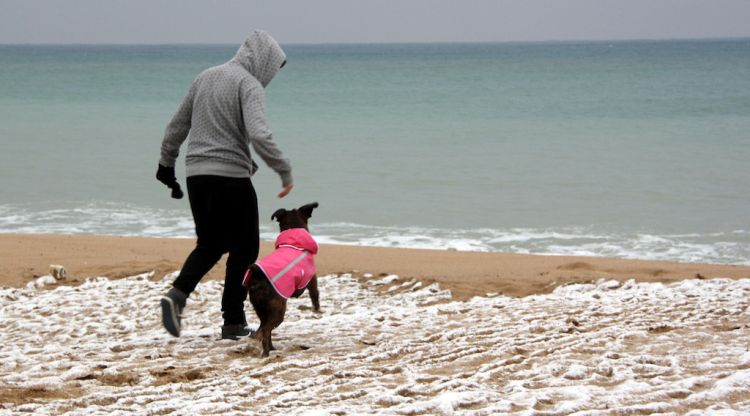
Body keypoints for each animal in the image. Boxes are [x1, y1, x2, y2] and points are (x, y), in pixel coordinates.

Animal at [244, 202, 320, 358]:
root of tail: (258, 276)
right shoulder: (312, 279)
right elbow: (315, 295)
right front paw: (317, 310)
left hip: (261, 309)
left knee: (265, 328)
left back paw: (271, 348)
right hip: (278, 309)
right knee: (266, 330)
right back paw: (266, 353)